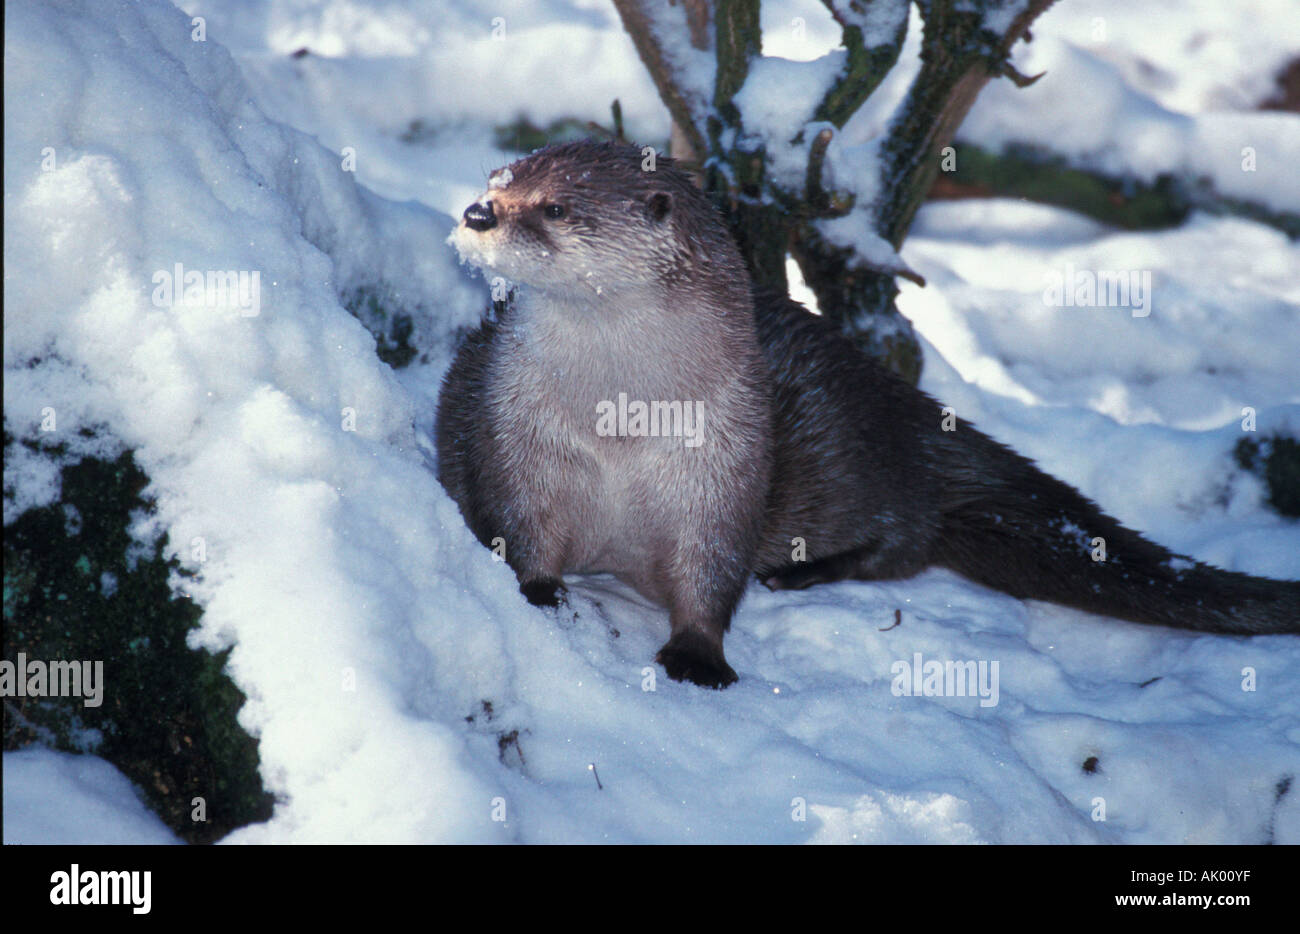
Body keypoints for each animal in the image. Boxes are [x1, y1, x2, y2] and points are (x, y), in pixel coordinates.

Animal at [435, 140, 1300, 688]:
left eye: (553, 208)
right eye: (496, 180)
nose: (479, 213)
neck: (620, 423)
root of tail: (908, 406)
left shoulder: (727, 463)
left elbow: (712, 570)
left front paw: (699, 656)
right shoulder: (515, 433)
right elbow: (523, 526)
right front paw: (539, 590)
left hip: (853, 457)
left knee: (905, 539)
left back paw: (802, 570)